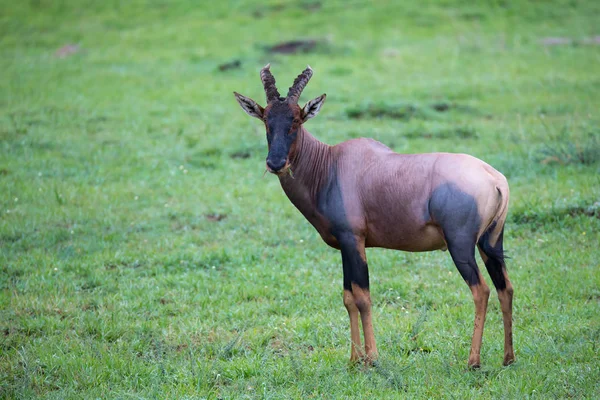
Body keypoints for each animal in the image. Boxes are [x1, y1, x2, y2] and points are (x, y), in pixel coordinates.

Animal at [234, 64, 516, 368]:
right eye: (266, 119)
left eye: (296, 120)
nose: (275, 163)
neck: (330, 165)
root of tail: (495, 178)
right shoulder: (346, 246)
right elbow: (348, 297)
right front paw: (353, 359)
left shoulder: (353, 240)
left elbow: (363, 297)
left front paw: (372, 358)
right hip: (490, 243)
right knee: (505, 288)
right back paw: (508, 358)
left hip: (460, 245)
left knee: (481, 291)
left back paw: (473, 361)